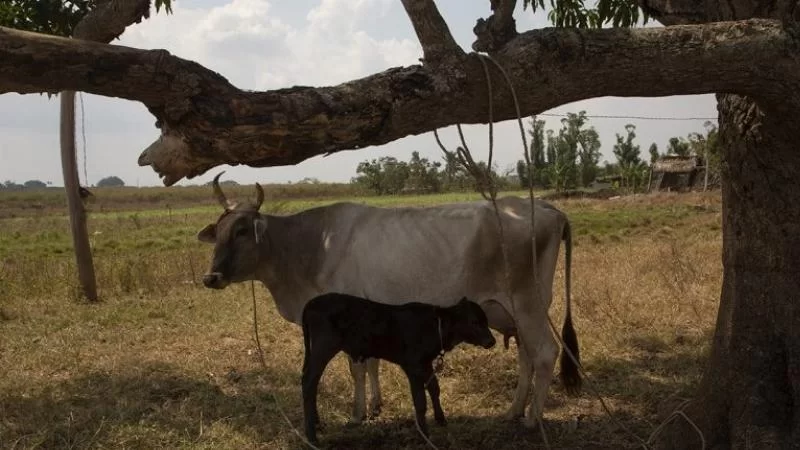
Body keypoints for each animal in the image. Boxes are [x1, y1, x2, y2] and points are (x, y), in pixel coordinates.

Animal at [197, 173, 580, 428]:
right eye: (220, 230)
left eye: (242, 231)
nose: (211, 277)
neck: (308, 247)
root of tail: (548, 207)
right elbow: (371, 364)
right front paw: (376, 405)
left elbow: (357, 367)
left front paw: (357, 414)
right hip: (518, 313)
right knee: (527, 355)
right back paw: (514, 411)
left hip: (528, 305)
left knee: (545, 352)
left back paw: (532, 420)